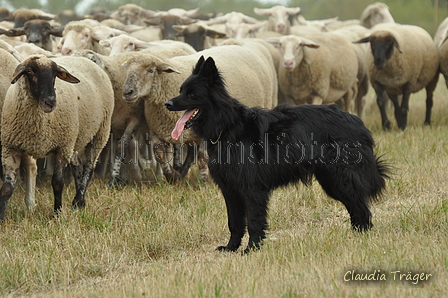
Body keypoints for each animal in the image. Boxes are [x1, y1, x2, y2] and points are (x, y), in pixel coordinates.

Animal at [0, 54, 114, 221]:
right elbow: (7, 188)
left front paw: (57, 213)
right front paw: (1, 218)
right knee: (77, 165)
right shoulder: (11, 148)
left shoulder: (62, 148)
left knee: (89, 167)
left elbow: (58, 183)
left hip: (100, 132)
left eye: (55, 74)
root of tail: (82, 57)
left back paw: (78, 200)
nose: (51, 102)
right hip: (73, 139)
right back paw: (80, 202)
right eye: (30, 71)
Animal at [164, 55, 388, 251]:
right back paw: (355, 237)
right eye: (181, 90)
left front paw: (252, 249)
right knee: (356, 207)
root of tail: (357, 122)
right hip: (332, 181)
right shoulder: (230, 190)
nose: (167, 104)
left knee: (361, 208)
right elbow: (234, 223)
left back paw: (361, 238)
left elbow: (254, 221)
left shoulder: (252, 190)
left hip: (340, 179)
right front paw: (231, 248)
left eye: (191, 94)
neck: (227, 127)